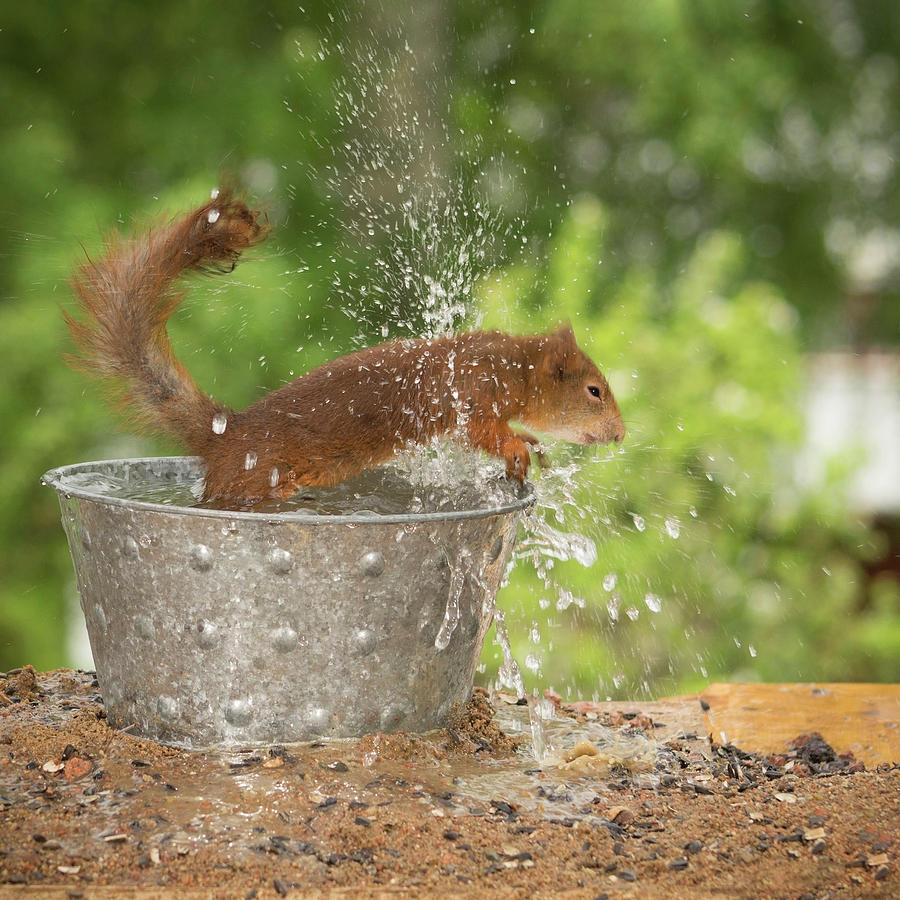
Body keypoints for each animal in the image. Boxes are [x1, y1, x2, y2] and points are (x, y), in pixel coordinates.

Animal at [68, 192, 624, 506]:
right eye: (594, 391)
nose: (620, 435)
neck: (515, 367)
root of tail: (226, 436)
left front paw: (531, 443)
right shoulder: (471, 392)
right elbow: (482, 432)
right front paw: (516, 448)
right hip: (254, 478)